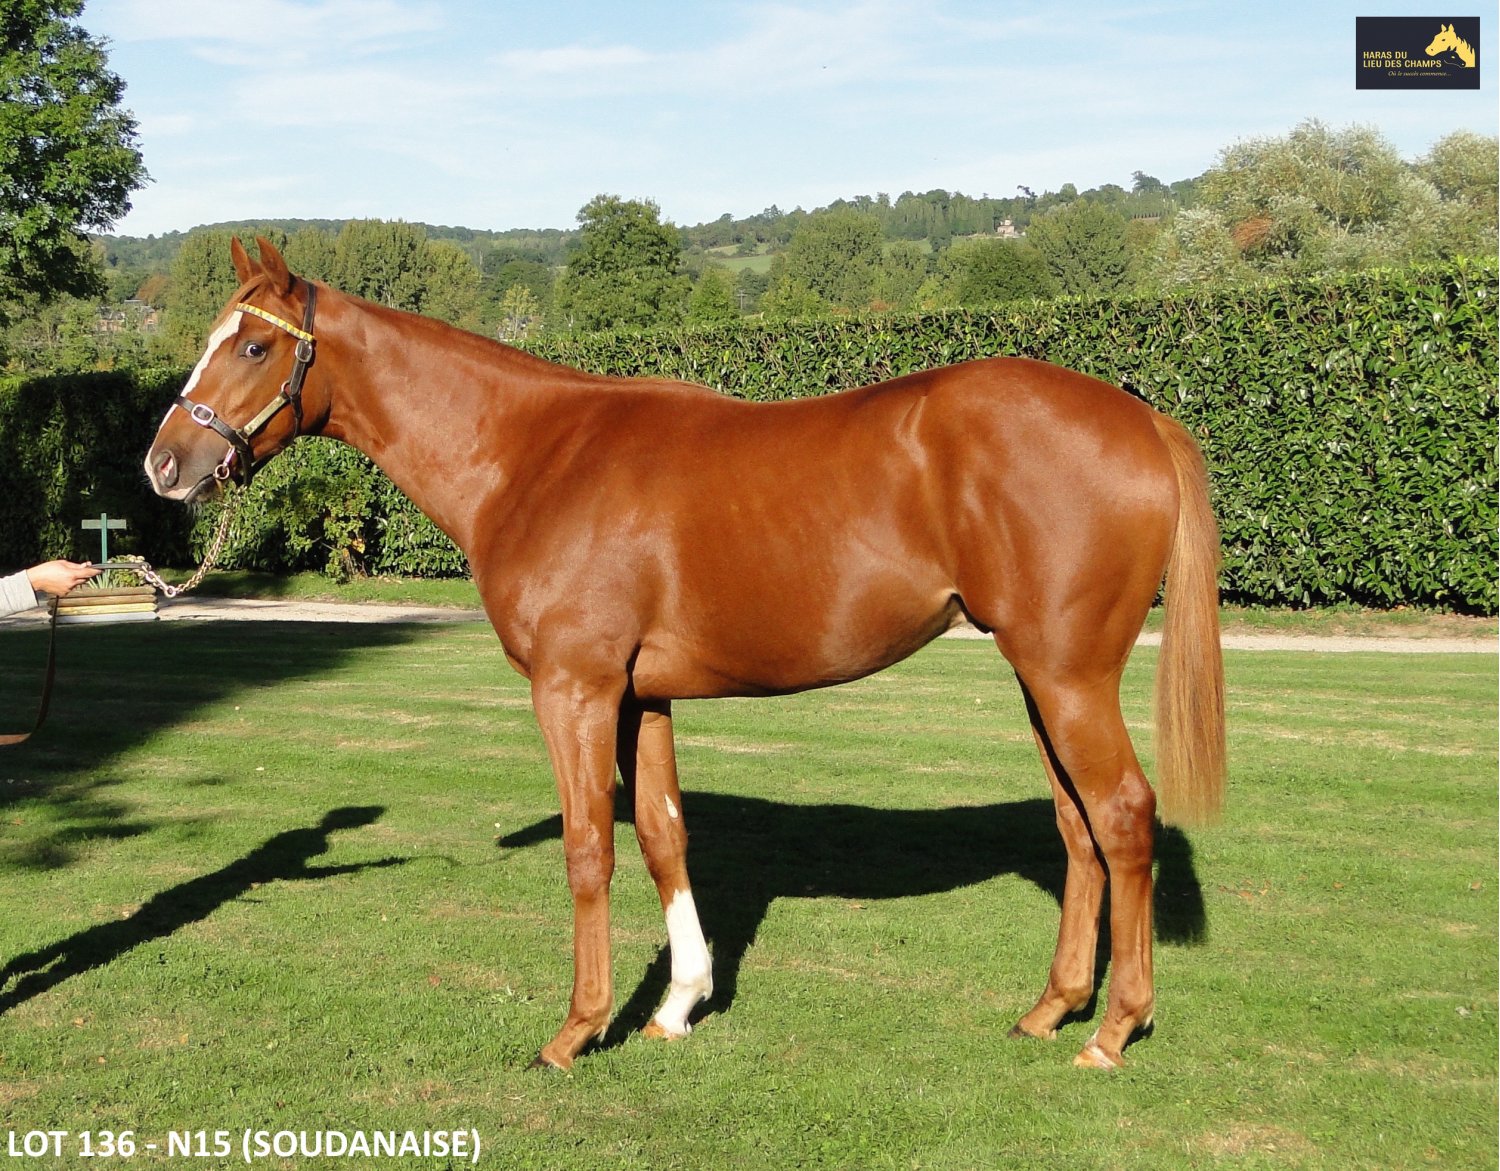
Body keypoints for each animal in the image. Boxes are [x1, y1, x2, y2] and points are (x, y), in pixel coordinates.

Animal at [144, 237, 1226, 1072]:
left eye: (252, 344)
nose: (163, 465)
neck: (535, 454)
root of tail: (1140, 416)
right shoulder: (641, 698)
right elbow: (664, 834)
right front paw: (676, 1005)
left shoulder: (574, 690)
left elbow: (590, 850)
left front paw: (577, 1030)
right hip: (1039, 678)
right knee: (1078, 826)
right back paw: (1051, 1009)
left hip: (1067, 677)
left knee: (1122, 816)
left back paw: (1114, 1030)